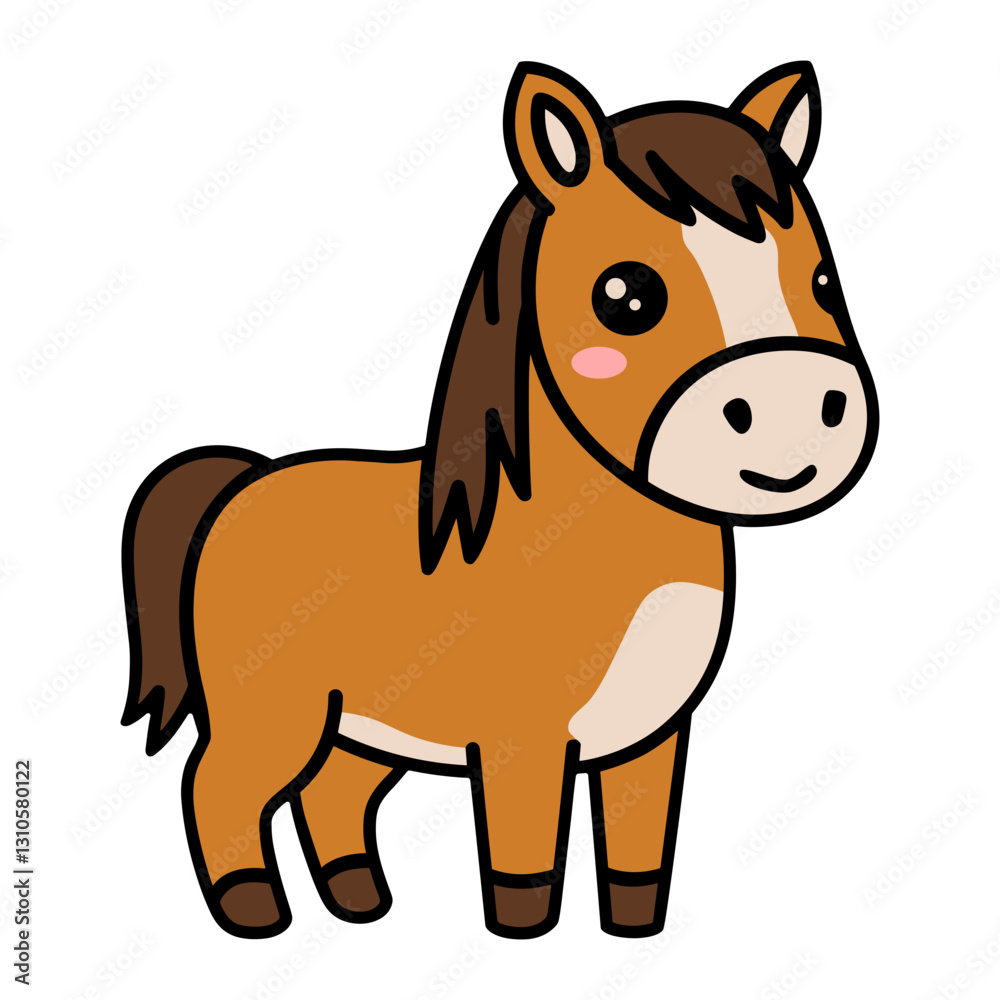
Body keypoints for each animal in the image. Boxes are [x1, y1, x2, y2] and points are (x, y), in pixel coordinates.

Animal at [122, 60, 878, 940]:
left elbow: (639, 853)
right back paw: (253, 912)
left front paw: (632, 932)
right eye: (626, 296)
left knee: (332, 794)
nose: (798, 408)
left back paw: (361, 901)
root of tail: (242, 483)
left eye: (822, 280)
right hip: (273, 711)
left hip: (360, 727)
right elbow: (525, 858)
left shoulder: (651, 741)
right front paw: (523, 935)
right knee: (217, 786)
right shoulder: (523, 744)